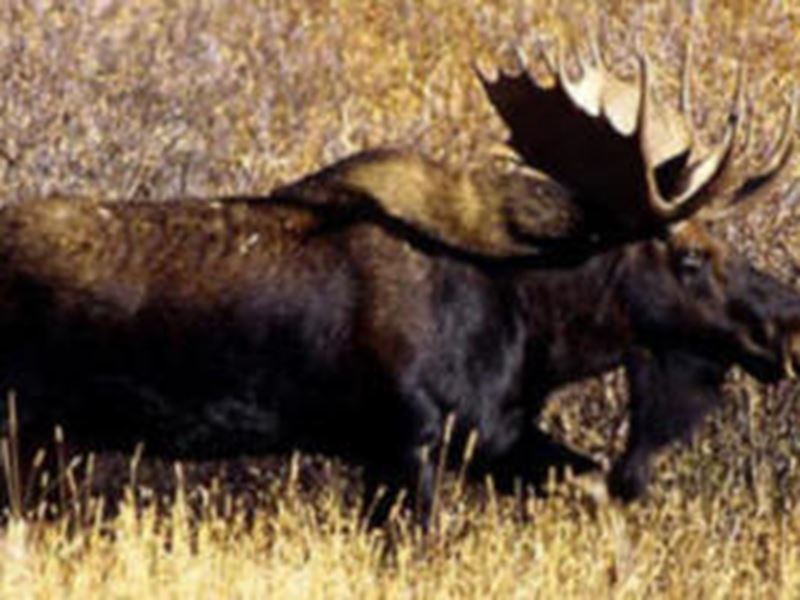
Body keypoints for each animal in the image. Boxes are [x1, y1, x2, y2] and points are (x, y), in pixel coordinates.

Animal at [1, 33, 799, 529]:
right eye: (688, 256)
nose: (785, 325)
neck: (533, 327)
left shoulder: (491, 436)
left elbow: (595, 485)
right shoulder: (402, 439)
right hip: (28, 429)